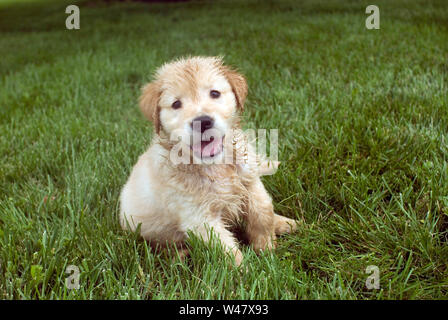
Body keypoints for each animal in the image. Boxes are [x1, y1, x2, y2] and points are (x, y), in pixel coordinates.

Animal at [121, 55, 300, 264]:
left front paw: (267, 249)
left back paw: (286, 223)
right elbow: (227, 249)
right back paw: (179, 255)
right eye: (176, 104)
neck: (215, 165)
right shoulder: (199, 218)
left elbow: (262, 212)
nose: (202, 121)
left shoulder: (251, 184)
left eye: (214, 93)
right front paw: (246, 270)